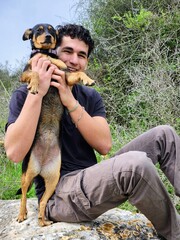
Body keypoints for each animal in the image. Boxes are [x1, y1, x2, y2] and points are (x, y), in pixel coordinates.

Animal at [16, 23, 94, 226]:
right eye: (38, 30)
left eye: (51, 29)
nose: (48, 37)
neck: (47, 55)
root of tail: (41, 168)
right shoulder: (25, 73)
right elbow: (35, 72)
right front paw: (36, 85)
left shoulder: (64, 75)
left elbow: (78, 72)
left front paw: (88, 79)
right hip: (27, 173)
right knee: (24, 195)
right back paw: (22, 214)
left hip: (53, 179)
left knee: (43, 202)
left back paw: (43, 221)